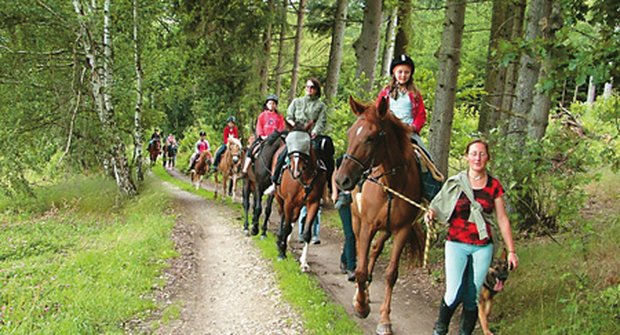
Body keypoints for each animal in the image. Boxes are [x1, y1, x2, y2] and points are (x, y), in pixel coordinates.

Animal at [274, 129, 326, 272]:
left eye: (305, 145)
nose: (295, 171)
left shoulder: (313, 203)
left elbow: (307, 233)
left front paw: (304, 263)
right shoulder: (288, 202)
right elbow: (286, 226)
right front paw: (281, 254)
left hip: (297, 207)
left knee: (291, 220)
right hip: (280, 199)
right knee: (283, 217)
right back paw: (280, 241)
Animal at [334, 97, 426, 335]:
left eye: (371, 137)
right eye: (350, 133)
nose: (341, 180)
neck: (391, 185)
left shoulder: (402, 229)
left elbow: (391, 274)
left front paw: (385, 320)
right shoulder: (367, 225)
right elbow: (360, 269)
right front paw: (361, 305)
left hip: (386, 229)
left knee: (375, 250)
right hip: (358, 221)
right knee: (361, 252)